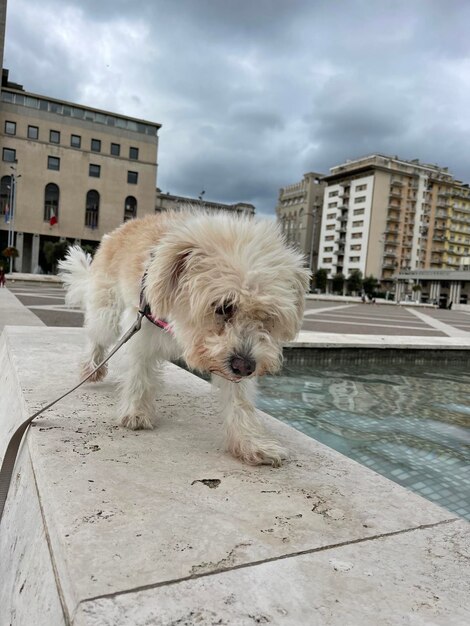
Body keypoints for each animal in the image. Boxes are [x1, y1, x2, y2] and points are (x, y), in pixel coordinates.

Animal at [58, 210, 308, 464]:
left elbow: (240, 400)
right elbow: (139, 374)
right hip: (107, 311)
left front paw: (250, 443)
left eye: (267, 316)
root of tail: (120, 229)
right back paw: (91, 368)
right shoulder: (141, 330)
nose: (245, 367)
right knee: (97, 336)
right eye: (224, 307)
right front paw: (135, 412)